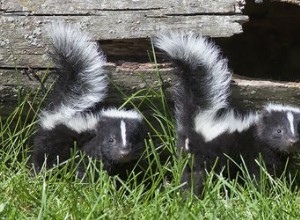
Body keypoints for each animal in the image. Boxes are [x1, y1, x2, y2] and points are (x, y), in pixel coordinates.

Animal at [32, 21, 145, 177]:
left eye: (133, 139)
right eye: (111, 139)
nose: (124, 152)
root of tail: (65, 106)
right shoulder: (88, 146)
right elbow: (86, 166)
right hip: (53, 138)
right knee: (44, 157)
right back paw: (40, 174)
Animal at [156, 31, 300, 194]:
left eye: (299, 130)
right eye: (278, 131)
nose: (293, 141)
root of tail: (197, 118)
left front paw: (285, 185)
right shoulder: (256, 151)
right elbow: (259, 173)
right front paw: (262, 190)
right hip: (201, 153)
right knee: (196, 174)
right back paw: (191, 193)